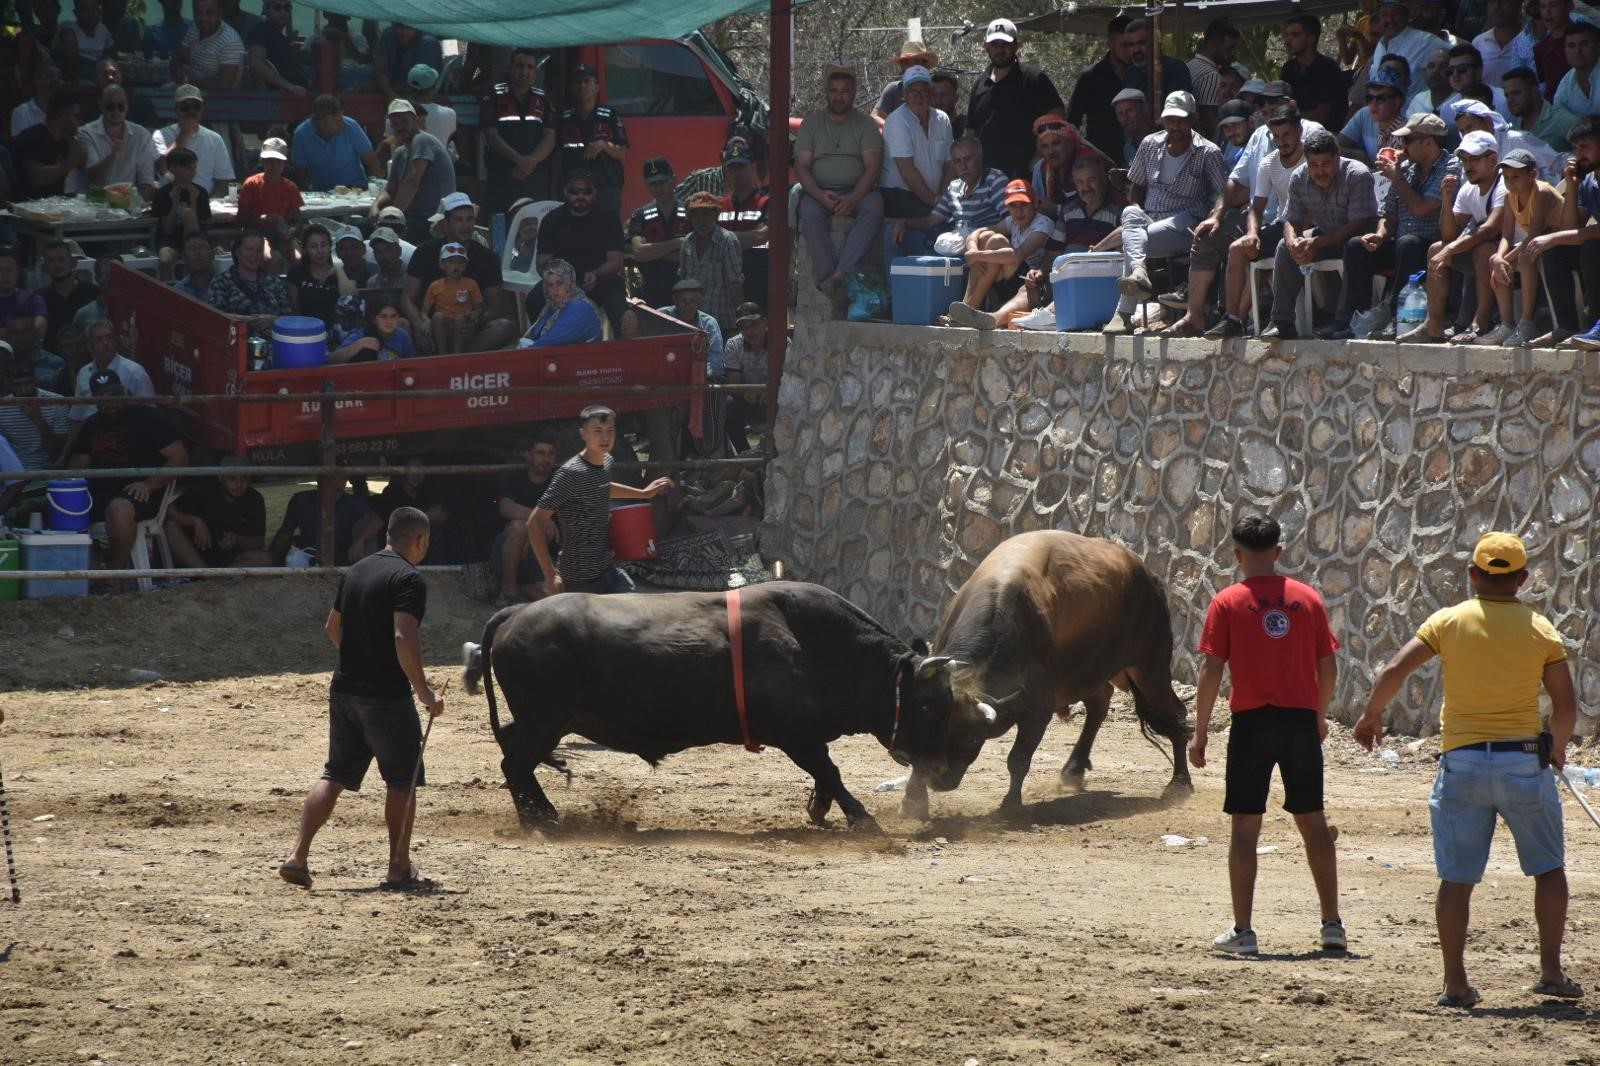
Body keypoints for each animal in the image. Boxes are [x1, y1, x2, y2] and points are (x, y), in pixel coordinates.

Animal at [464, 582, 979, 832]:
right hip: (545, 721)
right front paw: (860, 818)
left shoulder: (806, 735)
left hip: (541, 722)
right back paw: (539, 818)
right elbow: (829, 771)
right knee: (514, 763)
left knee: (513, 754)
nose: (945, 773)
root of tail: (516, 613)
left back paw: (542, 813)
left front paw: (819, 809)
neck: (813, 642)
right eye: (930, 705)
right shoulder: (795, 735)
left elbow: (825, 774)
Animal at [896, 528, 1196, 816]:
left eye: (972, 736)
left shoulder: (1038, 709)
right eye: (932, 725)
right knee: (1100, 703)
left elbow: (1018, 758)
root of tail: (1148, 574)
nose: (940, 779)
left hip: (1150, 666)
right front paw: (913, 801)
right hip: (1090, 672)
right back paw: (1074, 769)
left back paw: (1179, 783)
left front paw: (1010, 806)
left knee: (1175, 716)